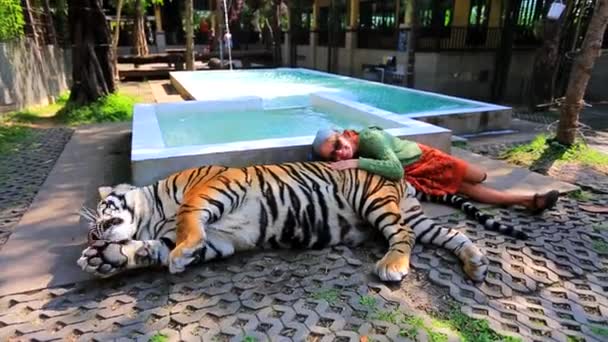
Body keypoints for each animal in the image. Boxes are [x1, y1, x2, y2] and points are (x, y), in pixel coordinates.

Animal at [77, 162, 528, 282]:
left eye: (101, 217)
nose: (95, 235)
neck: (155, 214)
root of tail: (400, 179)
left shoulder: (214, 185)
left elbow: (190, 217)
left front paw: (178, 253)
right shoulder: (219, 241)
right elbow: (150, 250)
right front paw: (104, 259)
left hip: (373, 201)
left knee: (401, 236)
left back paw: (392, 266)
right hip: (417, 218)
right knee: (451, 232)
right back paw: (475, 264)